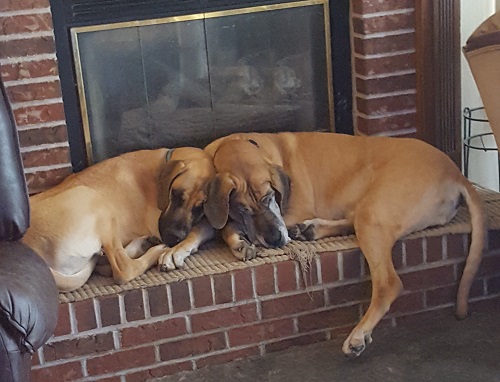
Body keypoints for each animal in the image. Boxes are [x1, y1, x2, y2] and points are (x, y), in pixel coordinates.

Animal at [23, 148, 215, 290]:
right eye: (175, 194)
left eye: (199, 208)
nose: (175, 238)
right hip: (94, 198)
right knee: (123, 269)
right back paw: (155, 250)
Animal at [203, 132, 484, 358]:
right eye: (243, 208)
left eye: (270, 196)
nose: (275, 239)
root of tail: (457, 174)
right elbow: (225, 225)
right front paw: (239, 241)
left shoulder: (292, 210)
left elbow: (225, 227)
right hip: (368, 212)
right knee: (351, 221)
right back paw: (310, 229)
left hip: (374, 213)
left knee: (388, 283)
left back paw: (358, 335)